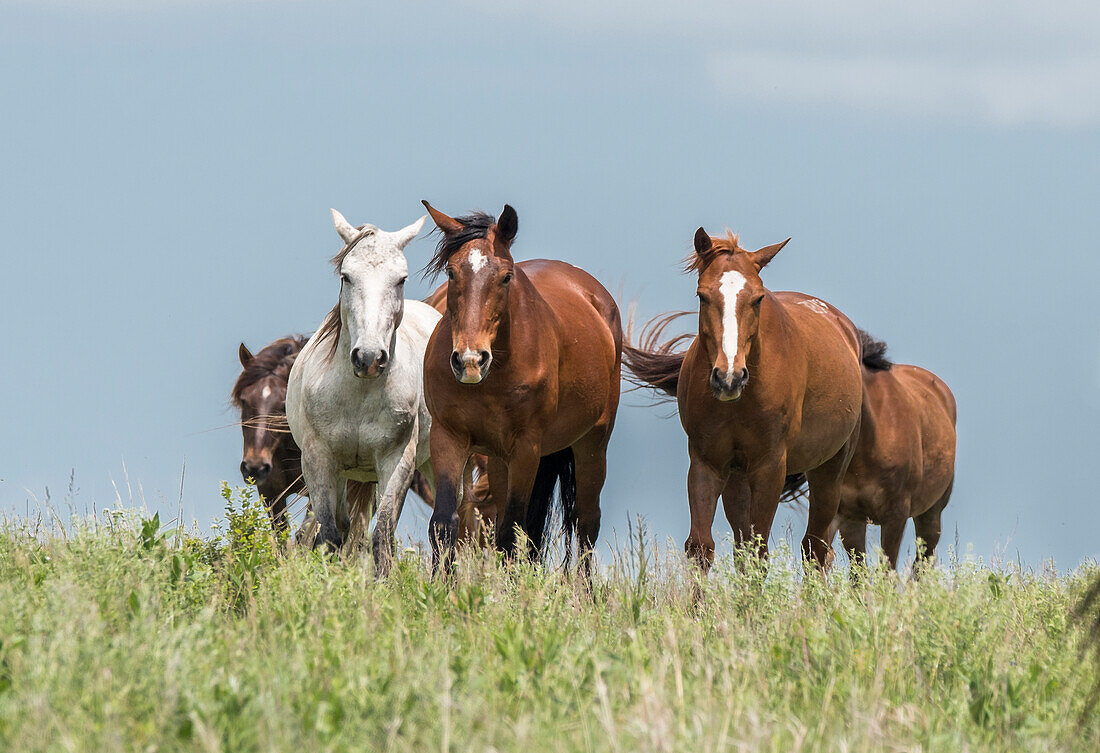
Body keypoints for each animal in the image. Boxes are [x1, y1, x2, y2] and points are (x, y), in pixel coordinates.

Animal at [288, 208, 442, 571]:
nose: (369, 357)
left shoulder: (397, 461)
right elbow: (330, 534)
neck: (358, 395)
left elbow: (382, 534)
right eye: (346, 277)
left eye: (400, 279)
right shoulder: (318, 459)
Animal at [420, 202, 624, 571]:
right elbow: (445, 525)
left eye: (506, 276)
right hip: (499, 461)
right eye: (452, 273)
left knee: (587, 523)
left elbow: (511, 530)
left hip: (592, 443)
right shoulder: (447, 436)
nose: (470, 360)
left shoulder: (526, 447)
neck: (492, 378)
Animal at [624, 228, 862, 571]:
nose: (729, 377)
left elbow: (760, 551)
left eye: (758, 298)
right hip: (738, 479)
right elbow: (702, 547)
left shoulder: (770, 466)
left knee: (815, 550)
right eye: (702, 295)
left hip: (830, 472)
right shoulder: (707, 462)